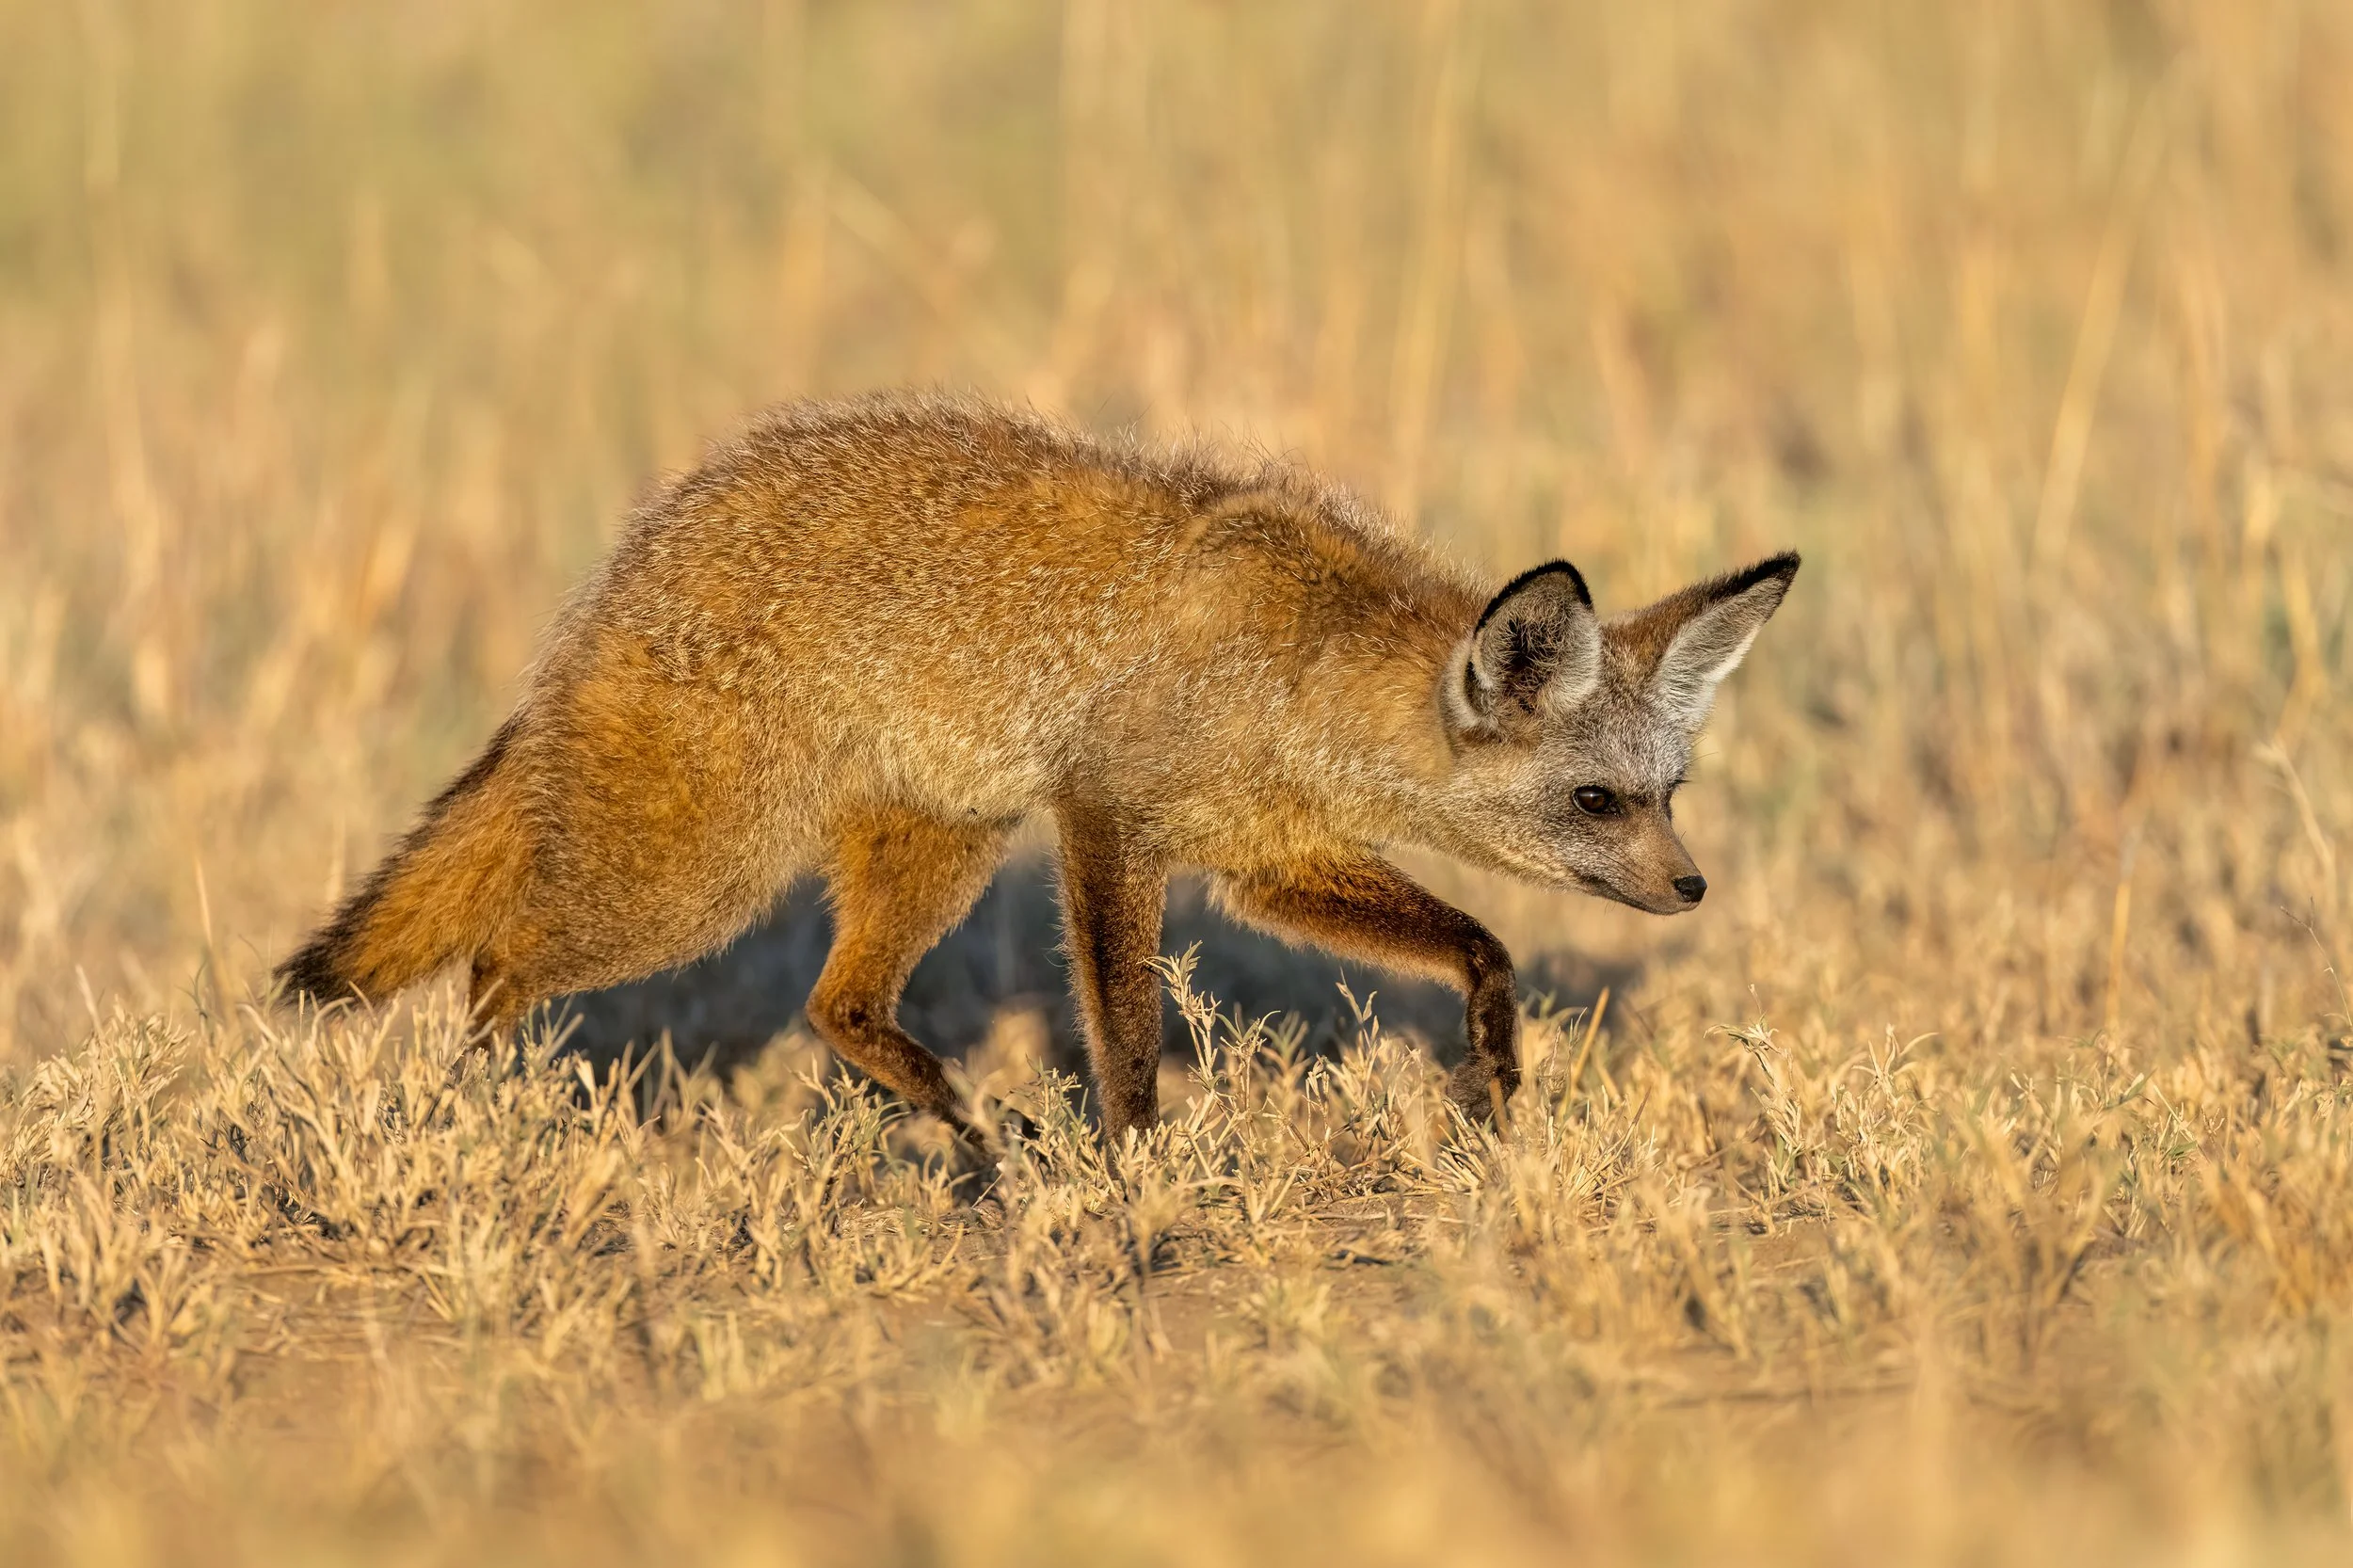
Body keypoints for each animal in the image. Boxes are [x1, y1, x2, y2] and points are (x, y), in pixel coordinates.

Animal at [277, 393, 1798, 1146]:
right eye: (1596, 800)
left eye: (1667, 795)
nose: (1694, 890)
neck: (1296, 666)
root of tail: (632, 557)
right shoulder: (1108, 819)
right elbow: (1124, 1027)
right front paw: (1137, 1166)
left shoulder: (1266, 861)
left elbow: (1481, 942)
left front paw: (1496, 1070)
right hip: (689, 887)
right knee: (499, 961)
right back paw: (477, 1110)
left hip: (933, 850)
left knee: (835, 1007)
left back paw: (965, 1134)